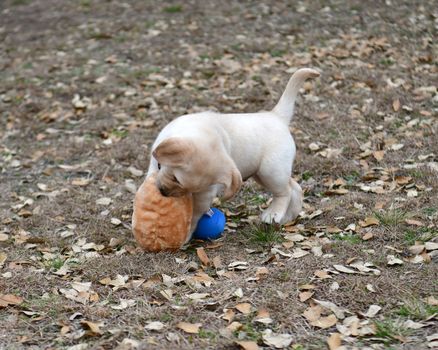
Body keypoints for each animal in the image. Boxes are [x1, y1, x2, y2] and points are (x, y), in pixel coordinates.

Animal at [147, 67, 318, 238]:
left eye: (179, 182)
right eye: (175, 178)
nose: (163, 192)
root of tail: (276, 116)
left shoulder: (206, 192)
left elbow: (196, 211)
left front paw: (186, 233)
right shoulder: (155, 164)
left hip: (270, 171)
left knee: (285, 191)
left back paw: (273, 214)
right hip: (264, 174)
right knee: (295, 187)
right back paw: (288, 216)